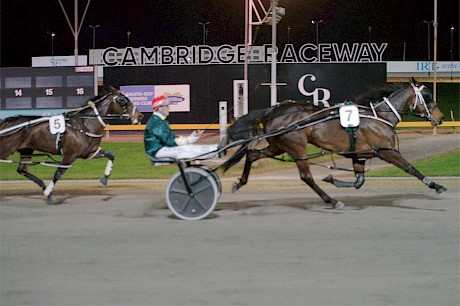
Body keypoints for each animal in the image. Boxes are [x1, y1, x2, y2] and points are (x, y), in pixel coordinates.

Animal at [0, 86, 144, 204]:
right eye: (123, 100)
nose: (140, 115)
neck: (85, 124)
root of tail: (6, 122)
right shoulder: (70, 155)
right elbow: (58, 174)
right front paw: (49, 194)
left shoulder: (90, 152)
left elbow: (111, 155)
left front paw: (104, 180)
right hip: (7, 149)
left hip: (26, 150)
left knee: (22, 170)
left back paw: (42, 186)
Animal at [222, 77, 446, 209]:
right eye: (427, 96)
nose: (441, 118)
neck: (379, 117)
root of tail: (272, 111)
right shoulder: (386, 150)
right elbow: (410, 168)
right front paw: (435, 185)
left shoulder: (359, 155)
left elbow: (359, 182)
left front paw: (332, 178)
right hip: (297, 147)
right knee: (306, 177)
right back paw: (332, 201)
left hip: (278, 146)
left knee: (252, 154)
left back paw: (239, 183)